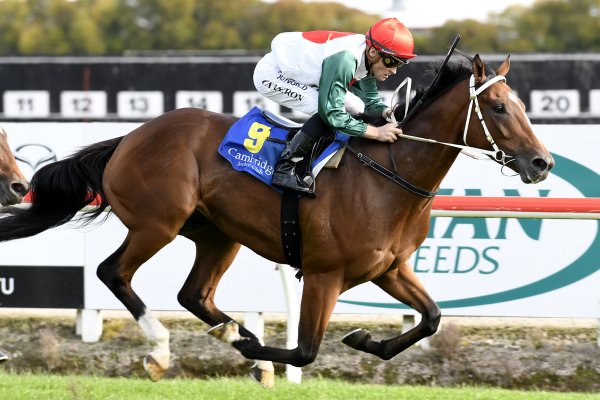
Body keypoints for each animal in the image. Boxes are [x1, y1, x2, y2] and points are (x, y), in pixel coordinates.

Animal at [0, 54, 552, 386]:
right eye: (498, 107)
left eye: (522, 104)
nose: (541, 163)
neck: (389, 177)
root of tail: (131, 136)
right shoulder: (325, 274)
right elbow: (305, 350)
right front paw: (264, 349)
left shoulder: (389, 268)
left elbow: (433, 317)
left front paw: (362, 339)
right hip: (158, 222)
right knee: (113, 272)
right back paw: (164, 350)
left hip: (217, 234)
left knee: (194, 295)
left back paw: (234, 337)